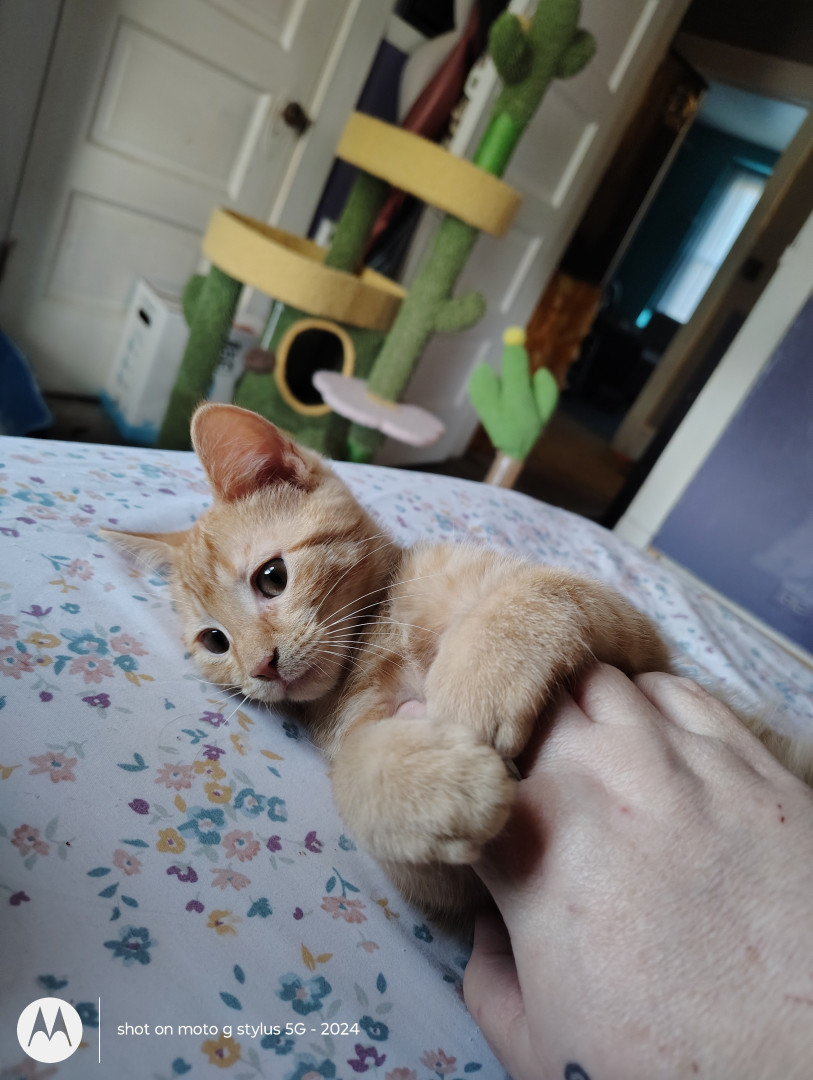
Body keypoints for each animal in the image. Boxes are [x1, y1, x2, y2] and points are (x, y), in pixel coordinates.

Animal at [103, 403, 811, 919]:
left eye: (272, 577)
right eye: (215, 643)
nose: (262, 668)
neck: (377, 640)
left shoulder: (645, 643)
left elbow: (535, 594)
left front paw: (478, 681)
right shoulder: (462, 893)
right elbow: (369, 788)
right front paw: (433, 787)